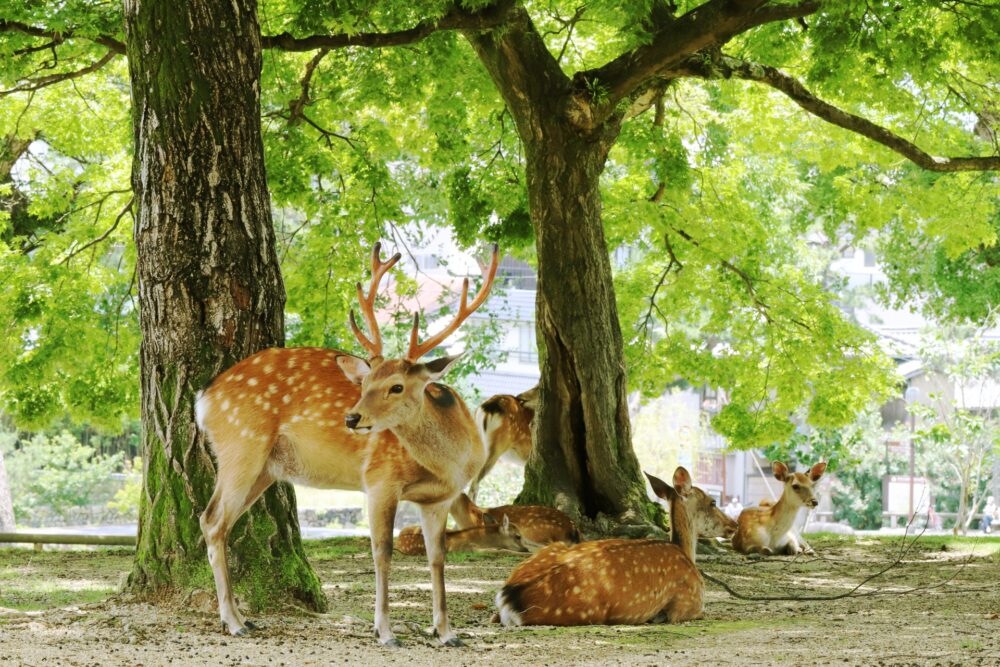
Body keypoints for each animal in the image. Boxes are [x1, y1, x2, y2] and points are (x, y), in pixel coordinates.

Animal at [195, 242, 499, 647]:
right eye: (365, 382)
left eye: (397, 386)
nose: (352, 418)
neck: (450, 461)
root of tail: (203, 399)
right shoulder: (380, 480)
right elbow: (382, 552)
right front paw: (385, 631)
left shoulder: (440, 498)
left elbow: (437, 557)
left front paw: (447, 632)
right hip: (241, 446)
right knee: (212, 519)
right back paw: (233, 621)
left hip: (265, 468)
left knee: (219, 522)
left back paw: (243, 618)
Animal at [494, 467, 733, 627]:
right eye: (712, 502)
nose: (734, 524)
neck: (685, 553)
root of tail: (509, 598)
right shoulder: (689, 603)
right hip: (587, 612)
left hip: (552, 548)